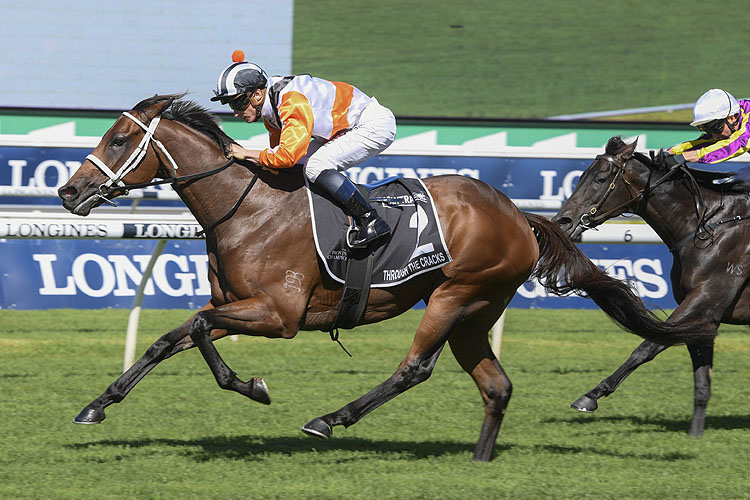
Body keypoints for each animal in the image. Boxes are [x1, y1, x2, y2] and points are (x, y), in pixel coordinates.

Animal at [57, 96, 712, 460]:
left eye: (120, 138)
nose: (67, 192)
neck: (249, 209)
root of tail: (518, 215)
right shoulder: (239, 306)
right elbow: (170, 338)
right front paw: (96, 406)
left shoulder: (278, 315)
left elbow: (194, 328)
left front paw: (253, 386)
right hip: (477, 310)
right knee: (495, 385)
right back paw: (479, 461)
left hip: (455, 293)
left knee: (414, 368)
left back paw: (330, 419)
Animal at [552, 135, 750, 436]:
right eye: (581, 176)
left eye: (600, 179)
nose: (562, 221)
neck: (708, 227)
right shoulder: (706, 314)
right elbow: (701, 377)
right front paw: (695, 433)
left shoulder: (705, 299)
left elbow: (648, 345)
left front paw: (591, 396)